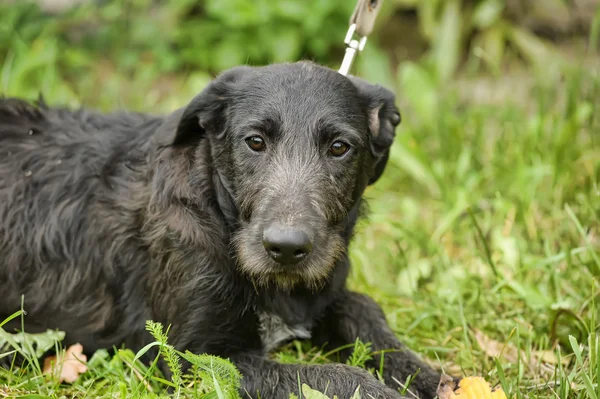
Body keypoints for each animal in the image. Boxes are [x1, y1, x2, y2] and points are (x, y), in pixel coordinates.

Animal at [0, 62, 450, 399]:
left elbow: (363, 310)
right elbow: (330, 376)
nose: (286, 249)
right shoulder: (192, 359)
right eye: (255, 141)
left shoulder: (323, 290)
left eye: (339, 147)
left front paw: (433, 379)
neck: (220, 217)